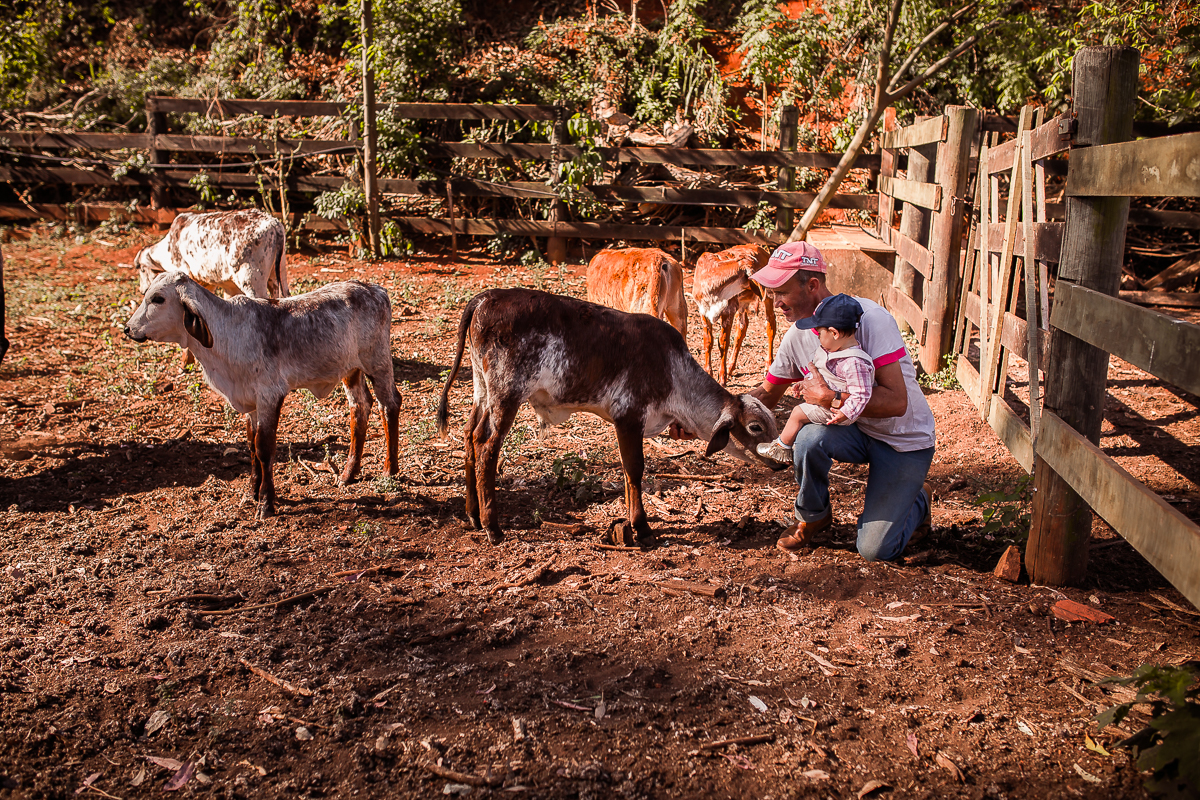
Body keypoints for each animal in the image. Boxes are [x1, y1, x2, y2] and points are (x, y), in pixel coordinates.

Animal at [124, 273, 400, 519]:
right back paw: (347, 474)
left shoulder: (269, 395)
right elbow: (251, 446)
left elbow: (264, 448)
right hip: (351, 369)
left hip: (377, 362)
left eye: (158, 299)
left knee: (389, 404)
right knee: (360, 407)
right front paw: (252, 493)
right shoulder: (251, 403)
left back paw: (390, 470)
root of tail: (374, 289)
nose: (128, 329)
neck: (228, 332)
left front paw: (266, 503)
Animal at [135, 209, 289, 299]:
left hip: (251, 281)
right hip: (280, 273)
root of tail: (274, 224)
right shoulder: (226, 286)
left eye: (141, 269)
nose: (142, 291)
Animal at [436, 288, 778, 545]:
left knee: (469, 435)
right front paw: (642, 528)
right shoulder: (629, 416)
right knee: (486, 447)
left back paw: (473, 515)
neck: (673, 372)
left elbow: (627, 474)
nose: (782, 461)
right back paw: (492, 526)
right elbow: (635, 470)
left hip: (482, 389)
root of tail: (486, 297)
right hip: (507, 395)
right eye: (755, 427)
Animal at [692, 244, 776, 385]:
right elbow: (708, 341)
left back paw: (768, 366)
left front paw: (722, 377)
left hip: (767, 300)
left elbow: (723, 343)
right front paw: (708, 372)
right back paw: (731, 367)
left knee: (770, 326)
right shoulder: (703, 311)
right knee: (742, 327)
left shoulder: (728, 311)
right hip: (743, 303)